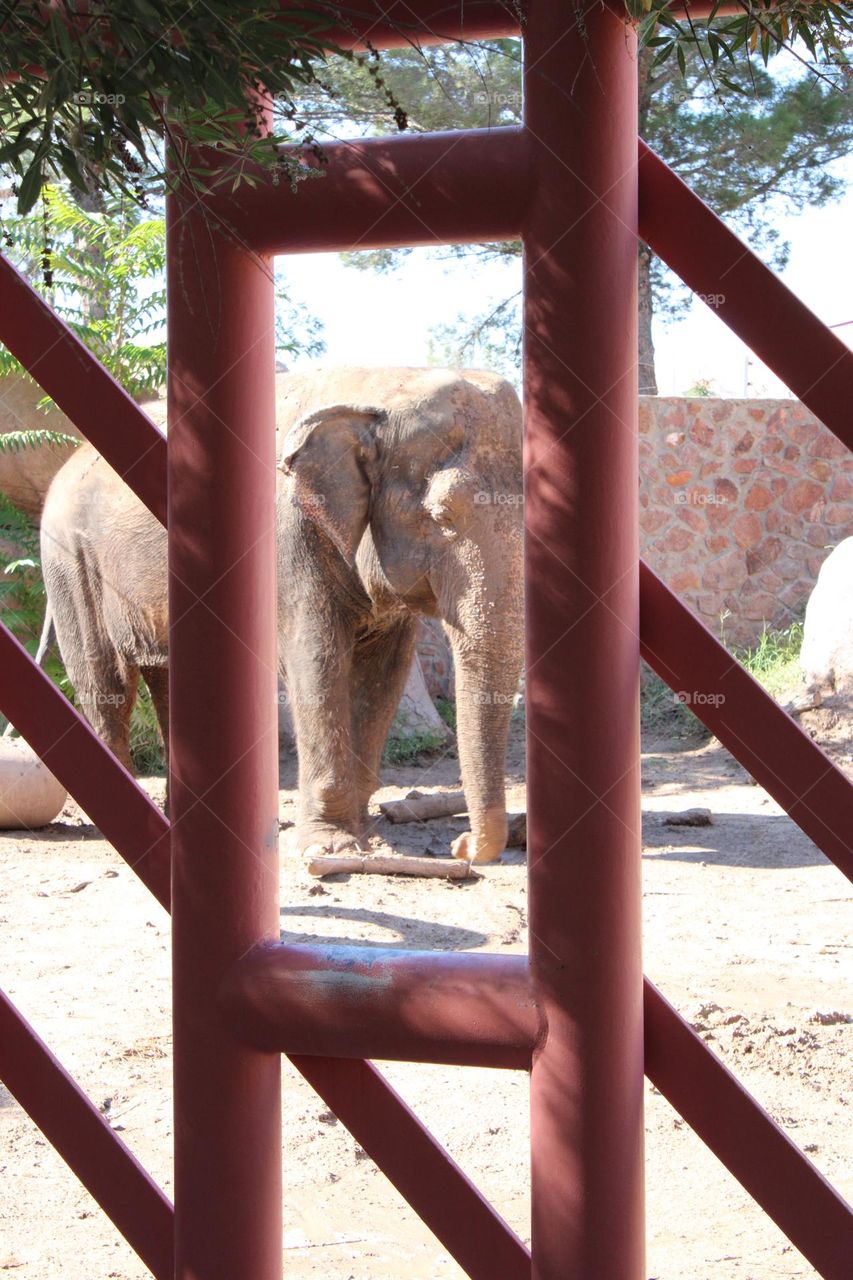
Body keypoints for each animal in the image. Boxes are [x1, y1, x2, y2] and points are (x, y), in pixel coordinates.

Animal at [39, 366, 524, 863]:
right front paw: (333, 847)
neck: (381, 389)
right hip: (69, 562)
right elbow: (316, 660)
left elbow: (384, 673)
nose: (462, 846)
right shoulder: (286, 536)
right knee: (106, 684)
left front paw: (364, 835)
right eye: (442, 516)